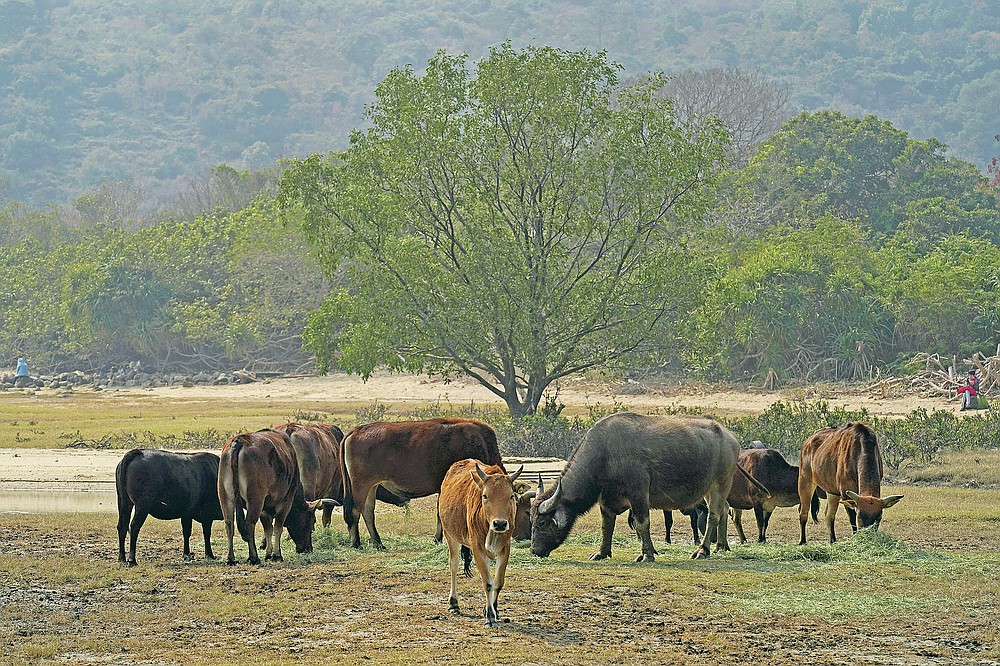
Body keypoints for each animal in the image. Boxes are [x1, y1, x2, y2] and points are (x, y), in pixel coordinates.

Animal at [217, 428, 334, 564]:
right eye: (312, 521)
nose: (307, 549)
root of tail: (239, 441)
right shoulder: (285, 502)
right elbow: (278, 527)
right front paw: (277, 555)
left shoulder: (264, 508)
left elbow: (268, 529)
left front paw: (268, 553)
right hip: (255, 500)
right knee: (249, 524)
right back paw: (254, 557)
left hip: (226, 498)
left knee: (229, 524)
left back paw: (231, 558)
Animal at [344, 416, 504, 548]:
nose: (501, 525)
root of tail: (356, 430)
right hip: (361, 486)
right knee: (355, 511)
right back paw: (356, 543)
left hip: (372, 487)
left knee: (368, 512)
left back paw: (378, 543)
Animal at [442, 460, 528, 624]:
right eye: (485, 495)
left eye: (511, 496)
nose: (500, 524)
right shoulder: (477, 547)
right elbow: (487, 582)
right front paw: (490, 616)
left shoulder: (505, 547)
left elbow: (498, 581)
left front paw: (494, 609)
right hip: (450, 535)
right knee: (453, 566)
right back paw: (453, 603)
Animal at [532, 410, 764, 560]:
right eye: (532, 521)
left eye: (542, 523)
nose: (535, 550)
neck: (605, 453)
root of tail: (729, 436)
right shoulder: (607, 499)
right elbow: (607, 525)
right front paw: (602, 552)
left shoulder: (638, 494)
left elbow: (642, 523)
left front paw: (647, 554)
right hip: (710, 489)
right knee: (725, 510)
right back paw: (721, 546)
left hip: (720, 483)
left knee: (714, 515)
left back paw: (702, 550)